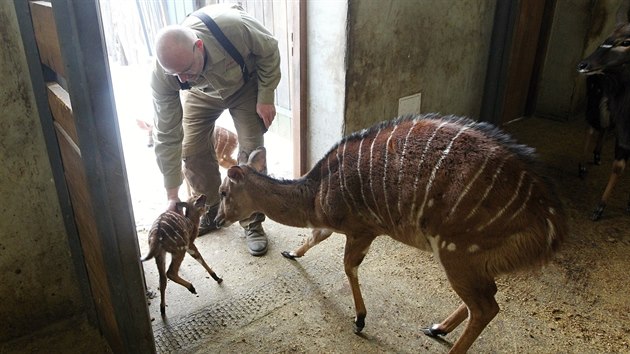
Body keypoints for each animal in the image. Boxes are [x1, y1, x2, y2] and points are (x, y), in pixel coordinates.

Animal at [217, 114, 568, 354]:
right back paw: (437, 328)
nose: (217, 217)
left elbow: (348, 266)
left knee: (485, 307)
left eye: (222, 192)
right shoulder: (335, 226)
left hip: (456, 250)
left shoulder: (362, 229)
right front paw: (291, 253)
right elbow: (317, 237)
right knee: (487, 298)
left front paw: (360, 320)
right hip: (477, 258)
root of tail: (552, 225)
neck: (316, 194)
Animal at [576, 22, 630, 220]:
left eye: (626, 41)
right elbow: (618, 166)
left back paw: (597, 155)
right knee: (593, 127)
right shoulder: (623, 132)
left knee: (603, 127)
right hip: (596, 100)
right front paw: (599, 208)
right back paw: (582, 167)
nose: (583, 64)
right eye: (608, 37)